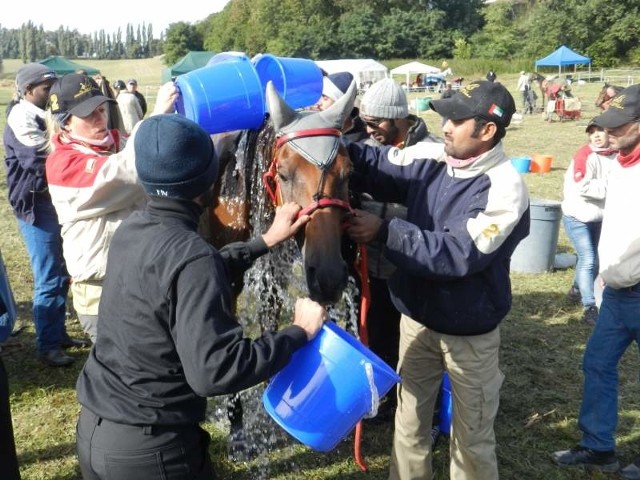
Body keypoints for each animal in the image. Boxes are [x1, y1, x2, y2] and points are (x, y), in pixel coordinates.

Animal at [201, 79, 360, 458]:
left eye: (349, 173)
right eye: (284, 174)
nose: (329, 276)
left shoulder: (277, 269)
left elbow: (269, 316)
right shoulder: (228, 280)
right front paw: (237, 427)